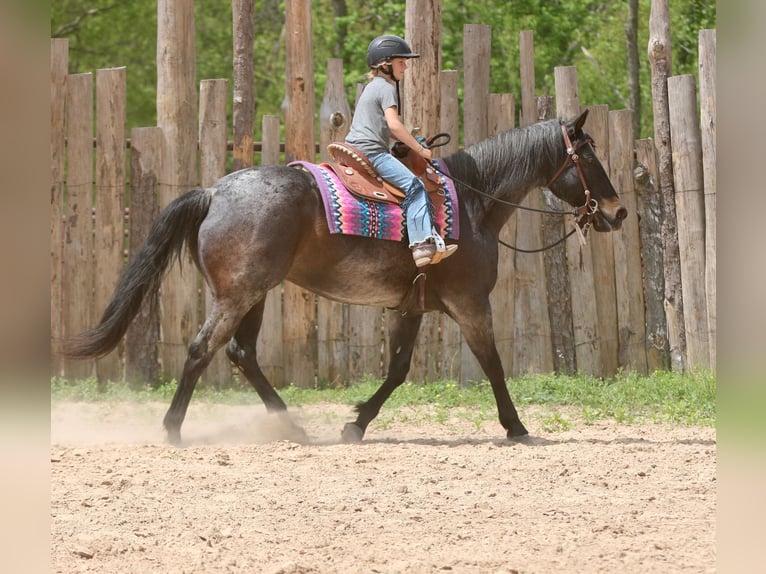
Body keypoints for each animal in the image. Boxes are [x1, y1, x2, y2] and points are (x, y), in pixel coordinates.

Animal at [62, 109, 626, 445]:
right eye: (588, 154)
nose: (617, 212)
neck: (472, 203)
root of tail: (214, 191)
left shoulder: (409, 307)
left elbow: (397, 370)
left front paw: (356, 423)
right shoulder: (471, 304)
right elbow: (492, 365)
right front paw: (517, 427)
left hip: (255, 294)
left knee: (241, 353)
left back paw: (291, 425)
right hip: (238, 294)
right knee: (203, 349)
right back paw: (174, 430)